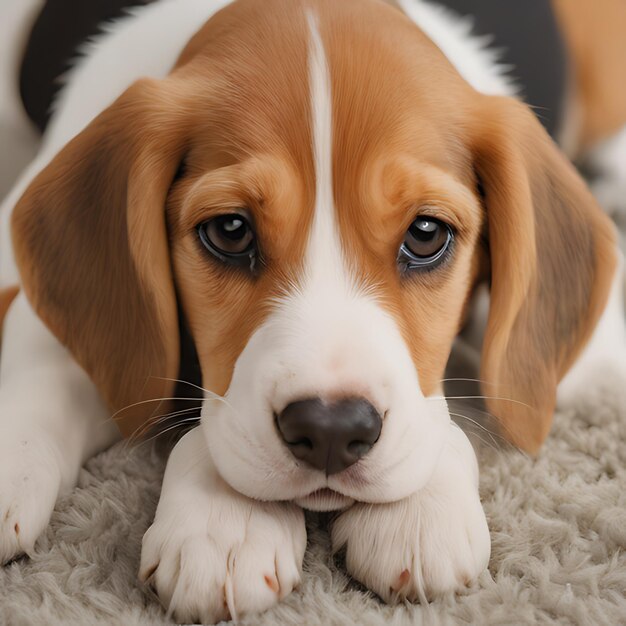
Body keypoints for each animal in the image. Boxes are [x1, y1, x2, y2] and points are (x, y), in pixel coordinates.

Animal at [1, 0, 624, 620]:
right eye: (230, 231)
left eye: (426, 234)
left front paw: (420, 507)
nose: (330, 430)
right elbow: (48, 373)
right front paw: (225, 519)